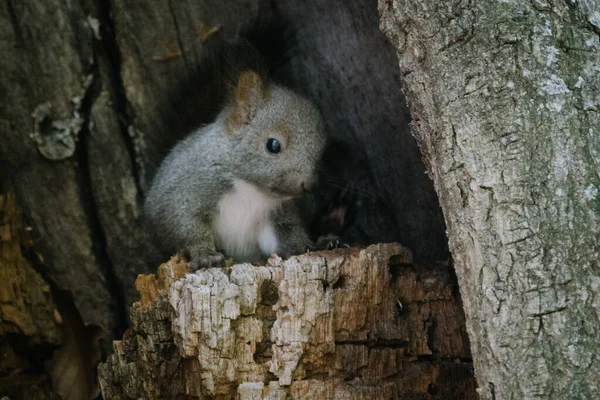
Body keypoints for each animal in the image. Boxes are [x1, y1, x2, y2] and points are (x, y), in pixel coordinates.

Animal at [144, 32, 344, 268]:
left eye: (321, 154)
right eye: (273, 145)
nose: (310, 185)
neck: (251, 190)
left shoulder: (276, 216)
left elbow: (286, 238)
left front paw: (310, 245)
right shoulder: (187, 193)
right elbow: (186, 226)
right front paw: (204, 255)